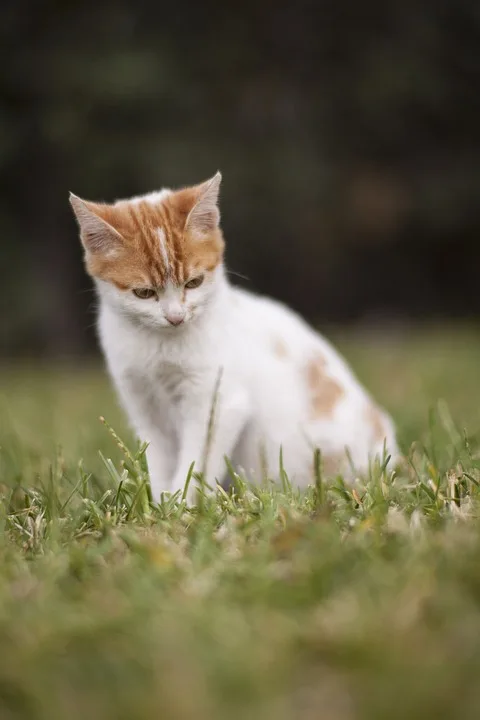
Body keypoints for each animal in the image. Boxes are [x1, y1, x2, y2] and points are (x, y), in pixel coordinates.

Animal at [69, 172, 400, 504]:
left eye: (194, 282)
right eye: (144, 293)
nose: (175, 317)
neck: (159, 346)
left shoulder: (219, 401)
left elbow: (197, 461)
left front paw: (182, 504)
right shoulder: (143, 402)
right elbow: (160, 459)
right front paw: (161, 503)